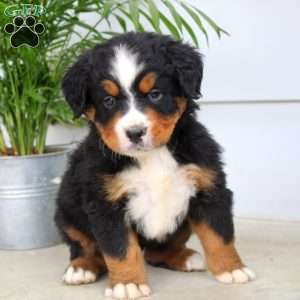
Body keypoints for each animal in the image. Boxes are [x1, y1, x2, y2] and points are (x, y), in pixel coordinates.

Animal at [54, 31, 255, 298]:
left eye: (155, 94)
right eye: (108, 101)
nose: (135, 132)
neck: (153, 156)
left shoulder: (208, 188)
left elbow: (219, 235)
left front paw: (232, 269)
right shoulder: (105, 204)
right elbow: (120, 249)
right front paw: (127, 283)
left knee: (156, 253)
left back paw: (185, 257)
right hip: (66, 209)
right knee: (85, 247)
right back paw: (81, 268)